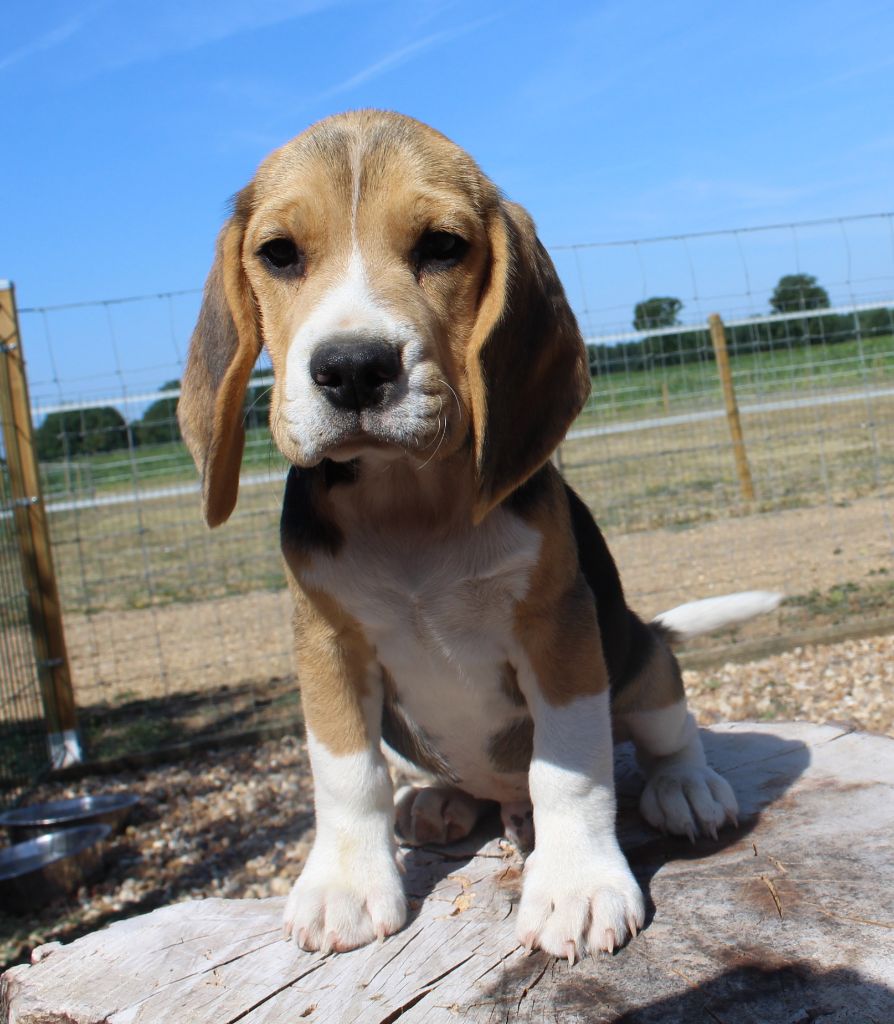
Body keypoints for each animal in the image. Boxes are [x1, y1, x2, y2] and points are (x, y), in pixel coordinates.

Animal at [178, 110, 778, 958]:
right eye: (279, 253)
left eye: (442, 246)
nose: (353, 368)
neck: (409, 507)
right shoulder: (326, 642)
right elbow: (345, 771)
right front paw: (345, 885)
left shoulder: (559, 632)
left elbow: (567, 768)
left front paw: (576, 885)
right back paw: (440, 801)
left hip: (638, 657)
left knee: (666, 728)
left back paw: (685, 788)